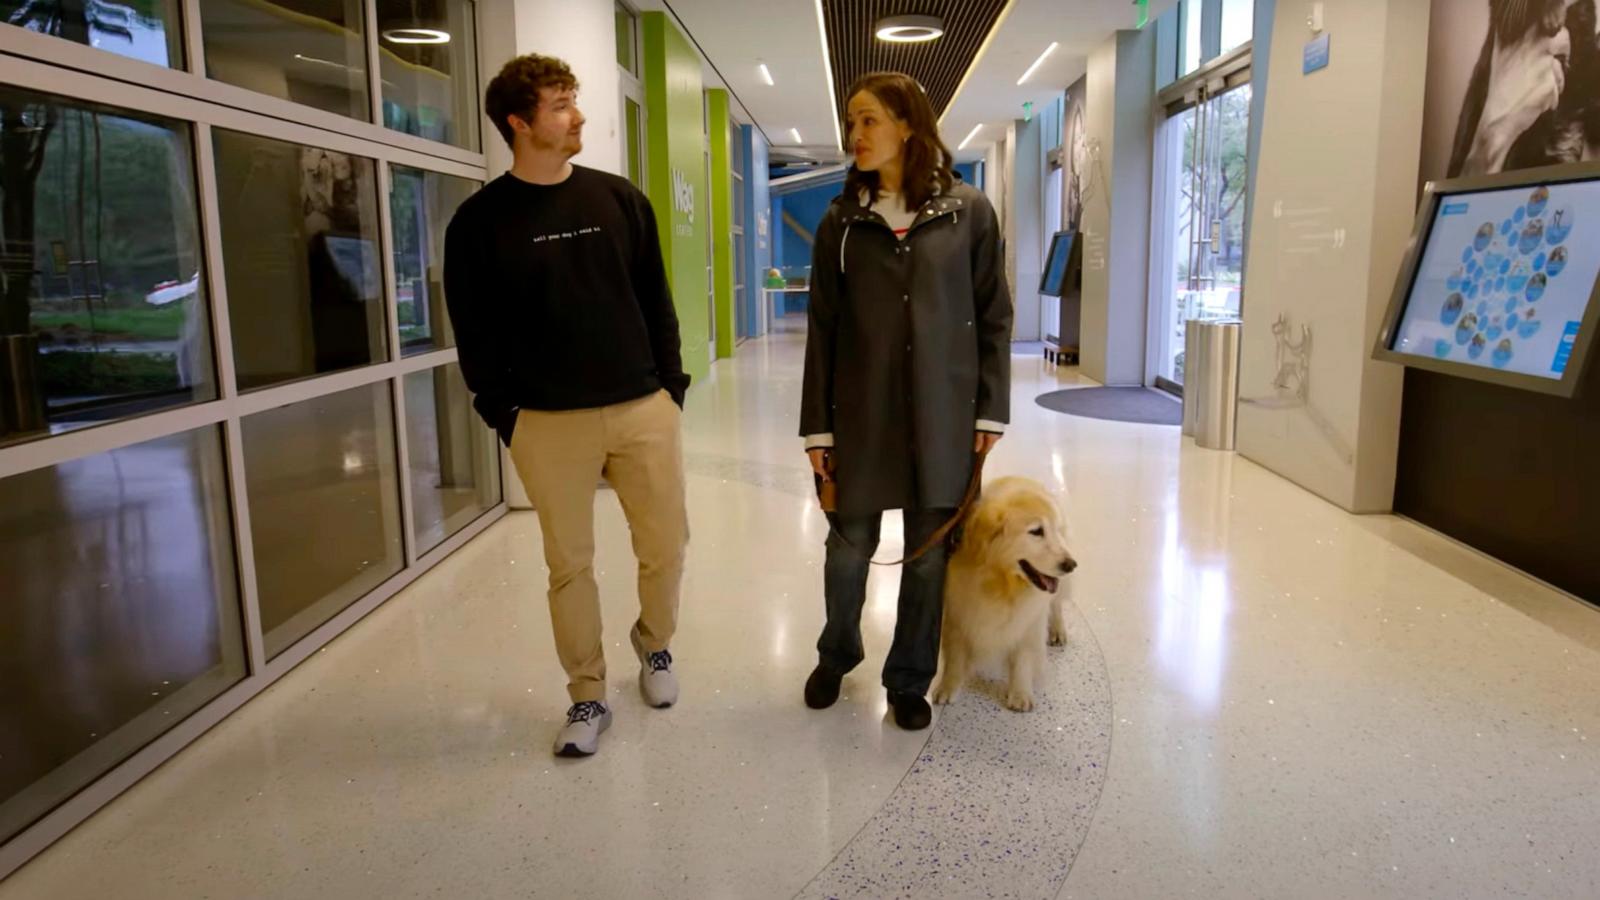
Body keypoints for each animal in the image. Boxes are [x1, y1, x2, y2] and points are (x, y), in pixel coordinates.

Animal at [934, 477, 1075, 707]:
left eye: (1053, 530)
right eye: (1036, 531)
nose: (1071, 564)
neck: (1001, 582)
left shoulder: (1028, 619)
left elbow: (1023, 656)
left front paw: (1020, 694)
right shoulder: (957, 612)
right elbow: (955, 655)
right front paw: (948, 686)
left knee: (1056, 603)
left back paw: (1057, 630)